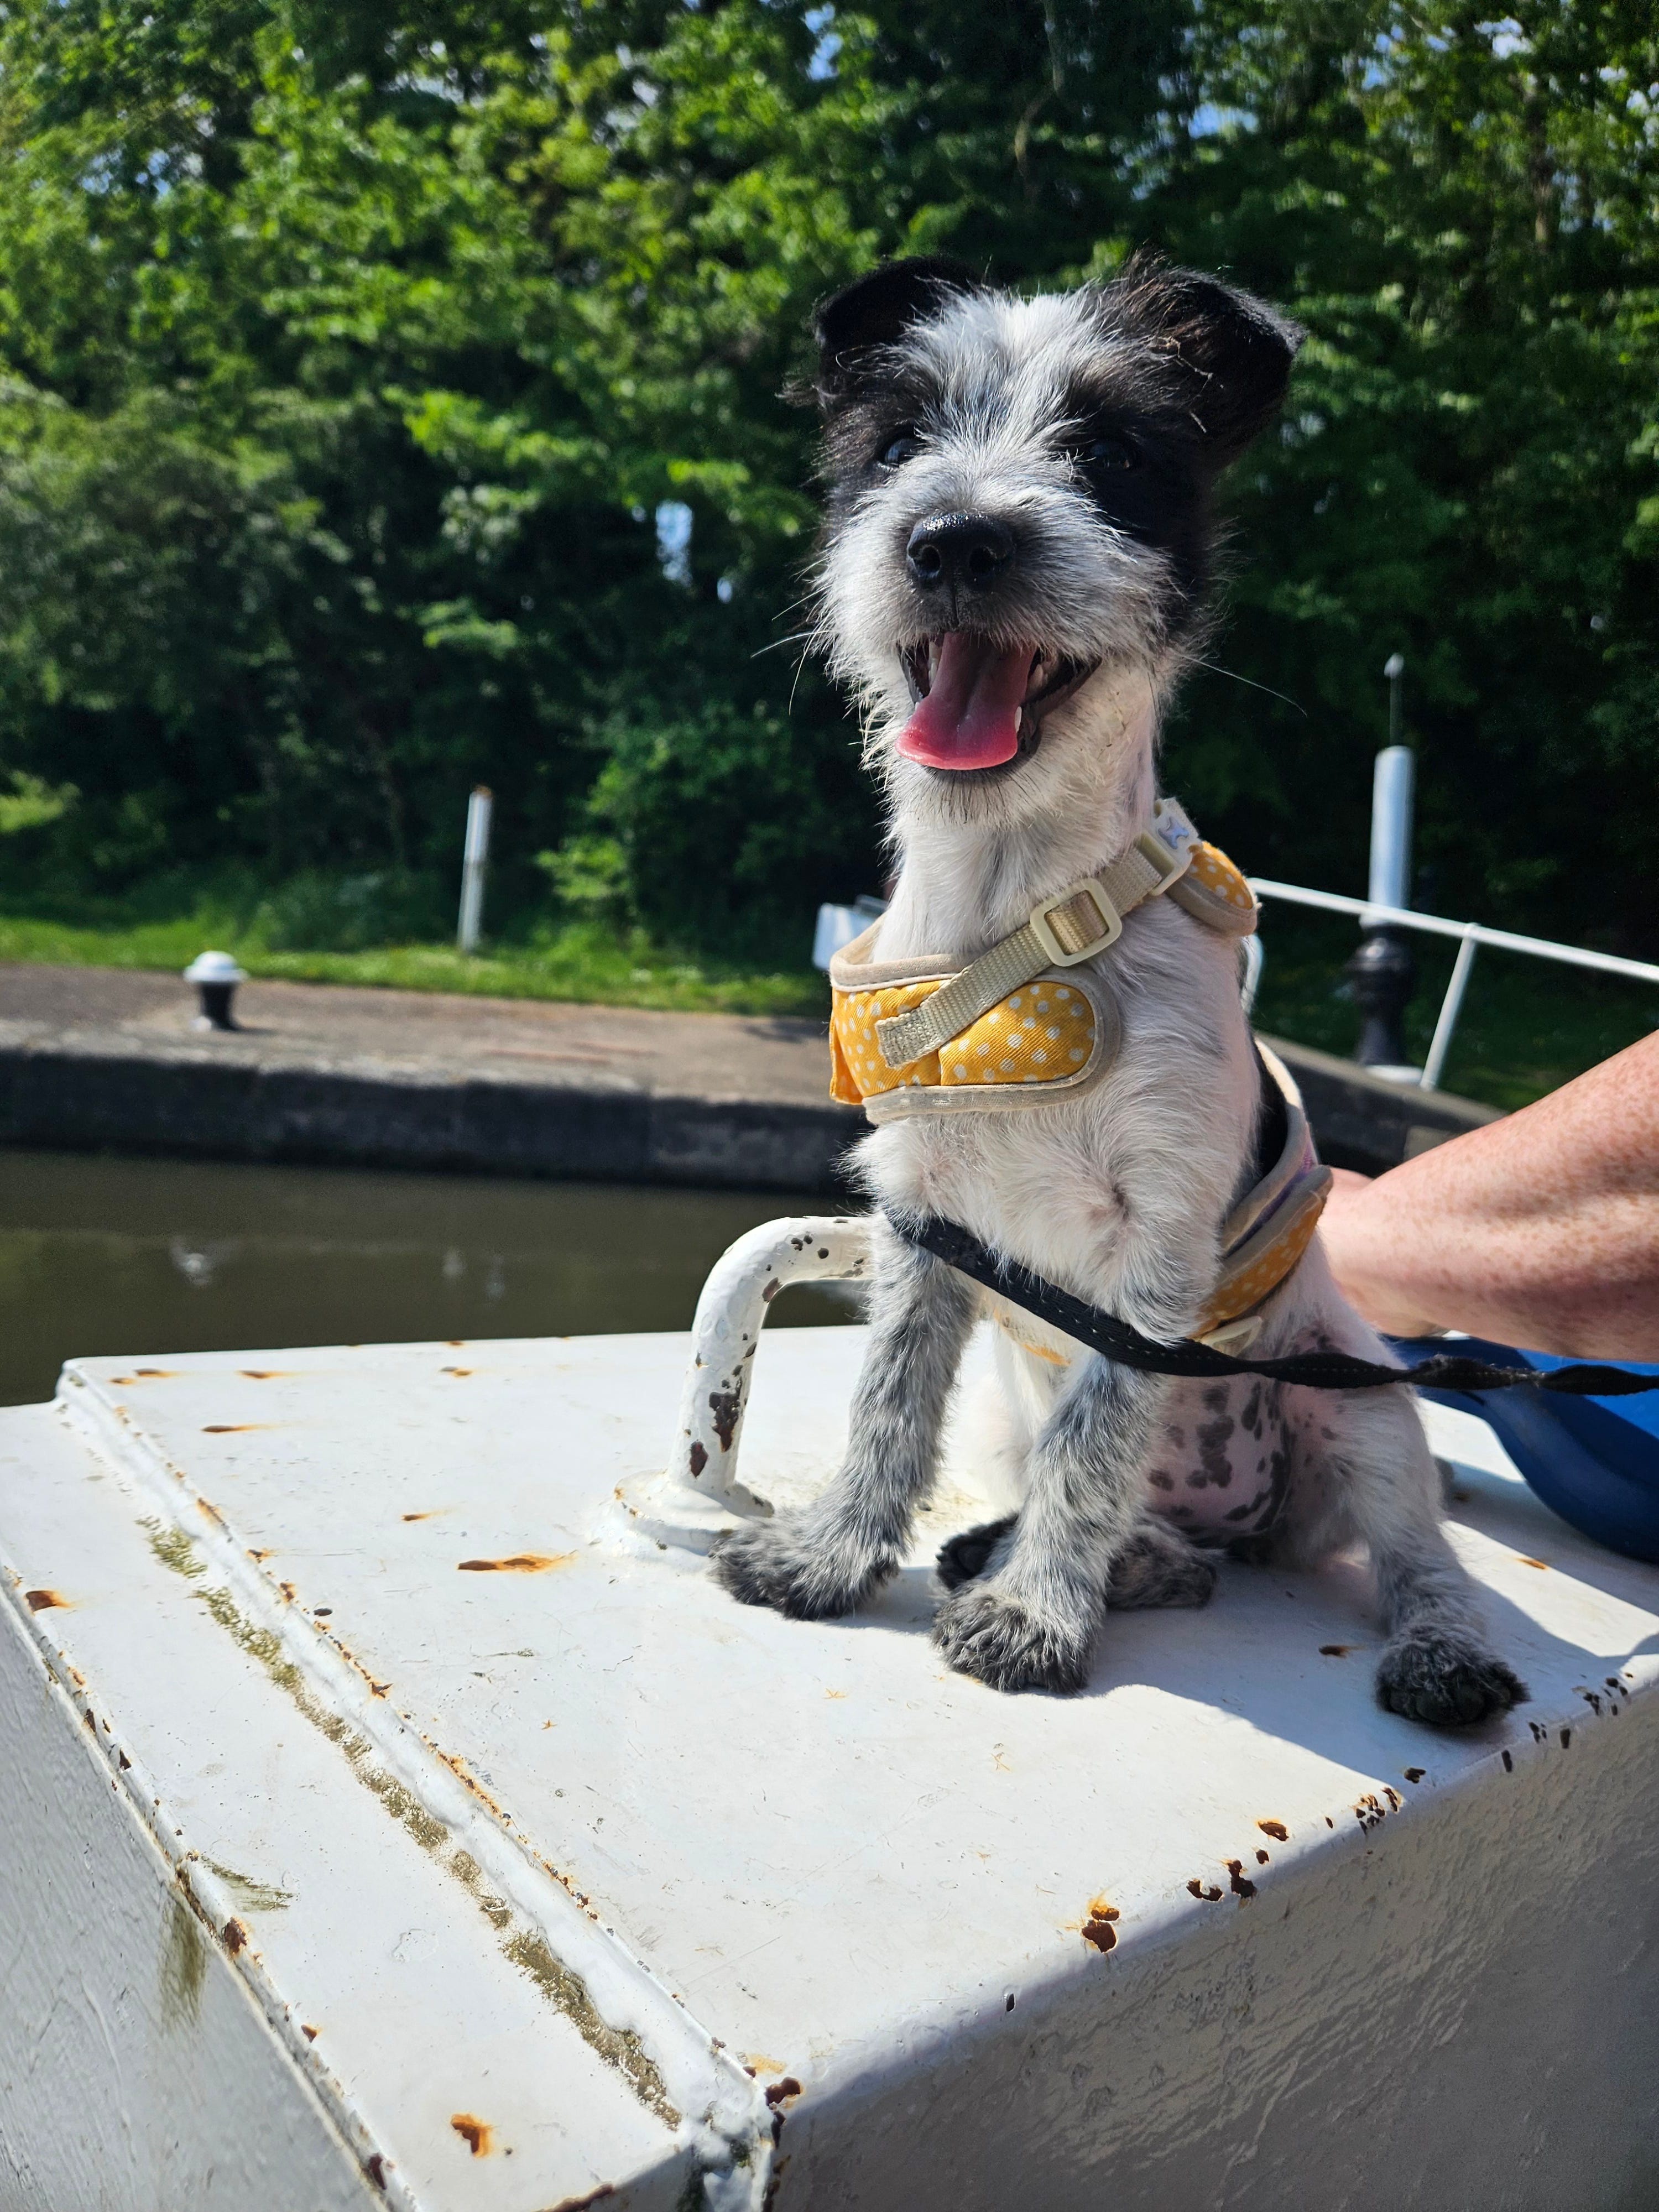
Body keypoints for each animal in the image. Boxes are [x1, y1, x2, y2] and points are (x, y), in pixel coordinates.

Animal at [708, 259, 1531, 1725]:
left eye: (1112, 458)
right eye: (897, 447)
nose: (957, 541)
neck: (1015, 916)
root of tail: (1236, 1521)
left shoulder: (1153, 1247)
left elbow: (1096, 1435)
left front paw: (1037, 1616)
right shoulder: (925, 1224)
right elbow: (886, 1405)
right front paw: (835, 1555)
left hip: (1364, 1407)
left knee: (1414, 1553)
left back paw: (1434, 1648)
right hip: (1012, 1403)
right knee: (1147, 1531)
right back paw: (1087, 1556)